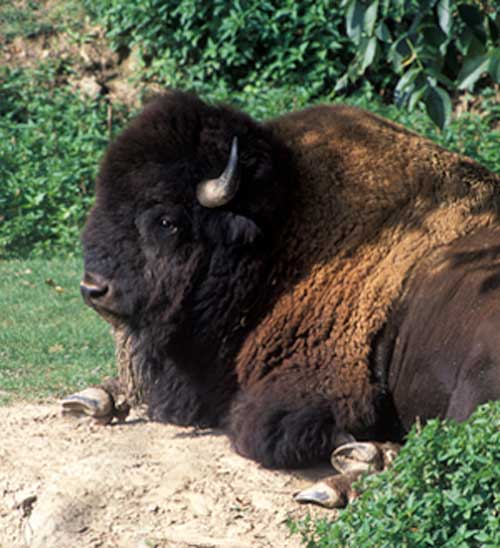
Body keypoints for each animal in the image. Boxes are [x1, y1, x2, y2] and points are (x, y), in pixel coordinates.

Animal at [62, 92, 500, 508]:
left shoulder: (314, 388)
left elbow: (264, 430)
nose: (93, 288)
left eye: (167, 220)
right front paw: (91, 398)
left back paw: (342, 479)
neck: (281, 235)